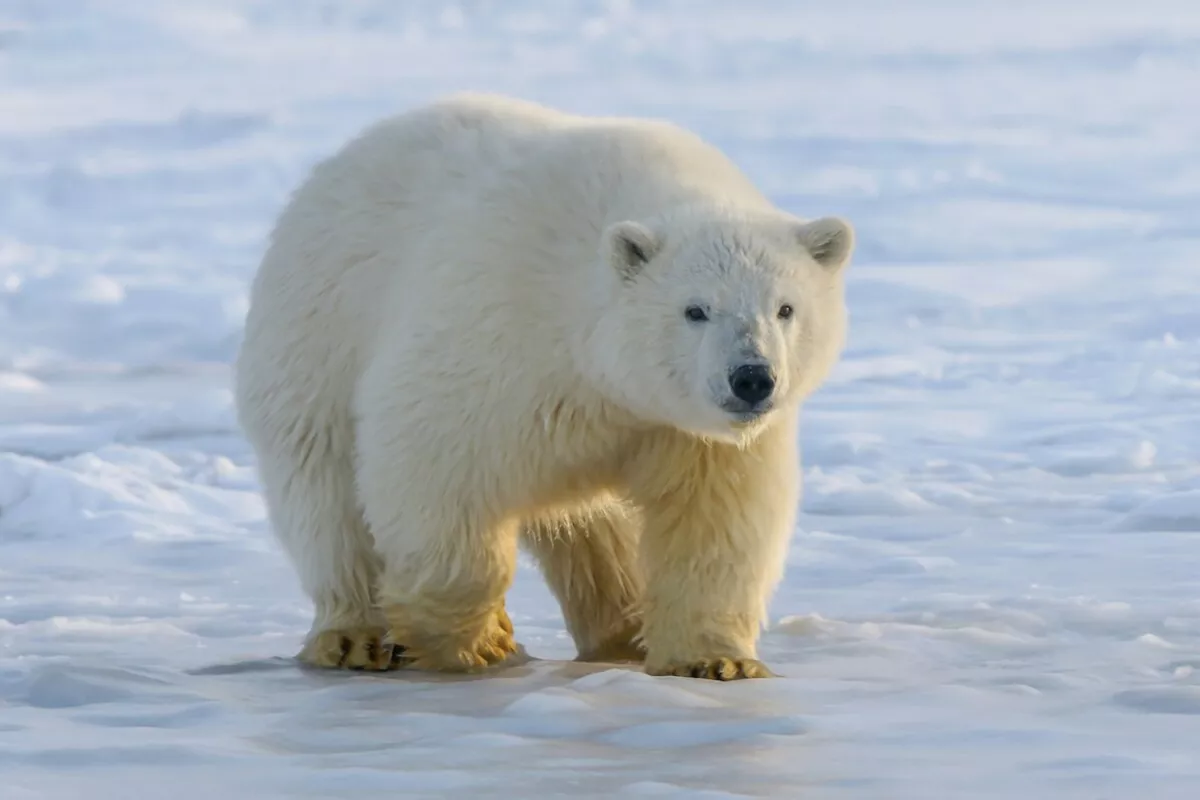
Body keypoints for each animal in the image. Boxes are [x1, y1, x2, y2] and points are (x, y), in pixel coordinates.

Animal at [234, 93, 854, 680]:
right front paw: (480, 639)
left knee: (596, 532)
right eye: (695, 309)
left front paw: (716, 661)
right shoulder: (497, 333)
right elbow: (431, 462)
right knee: (326, 493)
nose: (752, 378)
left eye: (785, 308)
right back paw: (354, 637)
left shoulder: (685, 431)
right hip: (317, 333)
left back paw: (622, 632)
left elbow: (715, 520)